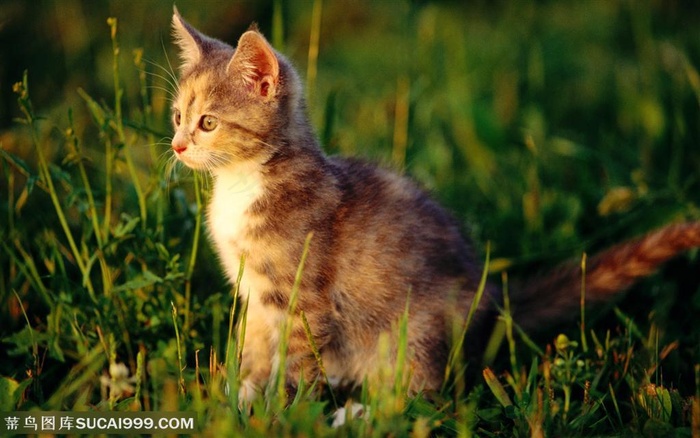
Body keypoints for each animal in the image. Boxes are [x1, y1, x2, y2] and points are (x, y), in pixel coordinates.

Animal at [168, 9, 700, 400]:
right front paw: (238, 400)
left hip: (415, 327)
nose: (176, 145)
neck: (244, 184)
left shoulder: (302, 297)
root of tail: (488, 297)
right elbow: (254, 349)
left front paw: (283, 411)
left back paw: (364, 412)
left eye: (208, 123)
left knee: (425, 391)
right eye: (177, 116)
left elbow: (296, 362)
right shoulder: (256, 296)